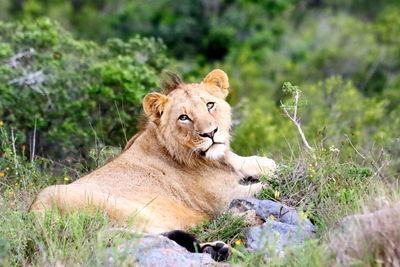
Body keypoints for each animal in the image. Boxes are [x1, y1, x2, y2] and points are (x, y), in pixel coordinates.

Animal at [30, 69, 276, 260]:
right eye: (183, 117)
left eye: (210, 105)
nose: (210, 133)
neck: (215, 159)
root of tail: (36, 215)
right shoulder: (224, 198)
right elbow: (265, 188)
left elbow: (266, 166)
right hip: (126, 210)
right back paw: (220, 245)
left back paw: (215, 249)